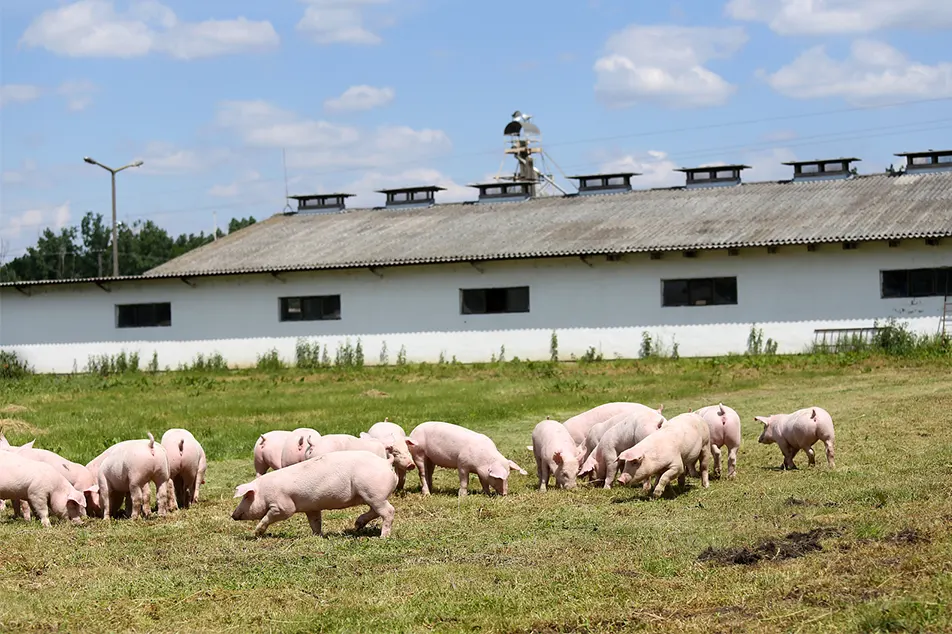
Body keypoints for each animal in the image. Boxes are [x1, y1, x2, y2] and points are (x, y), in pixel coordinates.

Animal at [231, 450, 398, 538]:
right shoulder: (311, 507)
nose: (232, 515)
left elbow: (273, 515)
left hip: (374, 493)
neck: (264, 492)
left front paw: (256, 533)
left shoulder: (283, 506)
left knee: (389, 511)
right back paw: (357, 525)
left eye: (246, 497)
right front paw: (317, 536)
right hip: (371, 496)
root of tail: (386, 463)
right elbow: (315, 521)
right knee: (375, 511)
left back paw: (383, 537)